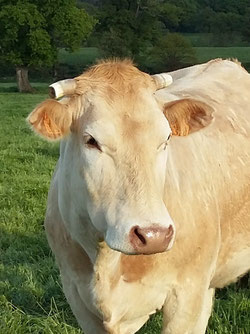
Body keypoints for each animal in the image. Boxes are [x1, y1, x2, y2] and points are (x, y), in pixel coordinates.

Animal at [27, 60, 250, 334]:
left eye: (166, 138)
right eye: (91, 141)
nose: (153, 235)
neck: (106, 262)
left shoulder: (187, 294)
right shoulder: (76, 294)